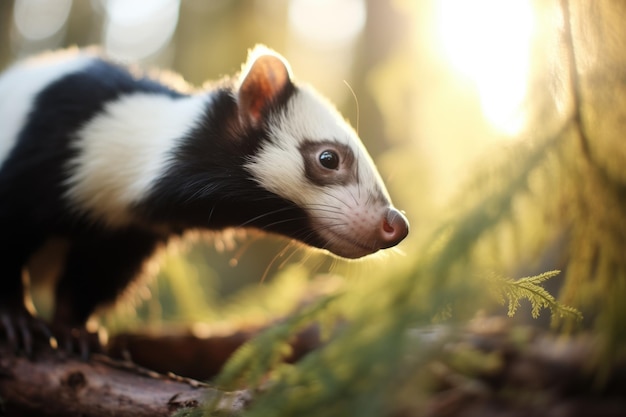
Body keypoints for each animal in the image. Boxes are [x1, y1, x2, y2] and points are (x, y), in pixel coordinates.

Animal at [0, 45, 408, 352]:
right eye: (328, 158)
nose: (396, 224)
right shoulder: (44, 152)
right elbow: (11, 231)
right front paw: (18, 321)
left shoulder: (127, 235)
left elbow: (95, 277)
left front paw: (74, 331)